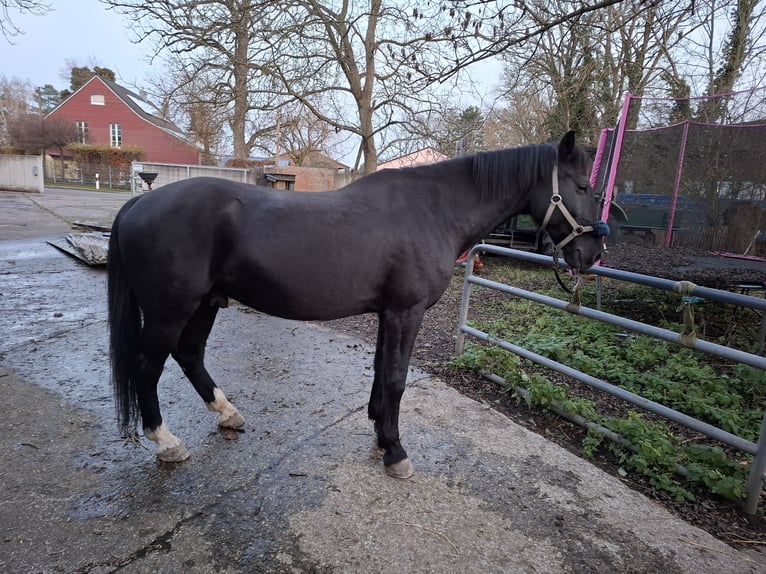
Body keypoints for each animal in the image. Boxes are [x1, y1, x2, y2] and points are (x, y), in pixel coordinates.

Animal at [108, 133, 608, 480]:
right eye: (584, 185)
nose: (592, 253)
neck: (433, 210)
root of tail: (139, 202)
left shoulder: (390, 313)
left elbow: (381, 371)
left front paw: (379, 433)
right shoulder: (407, 312)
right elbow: (397, 378)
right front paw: (396, 452)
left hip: (205, 305)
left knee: (189, 355)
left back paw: (227, 414)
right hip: (170, 310)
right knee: (147, 366)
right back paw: (166, 443)